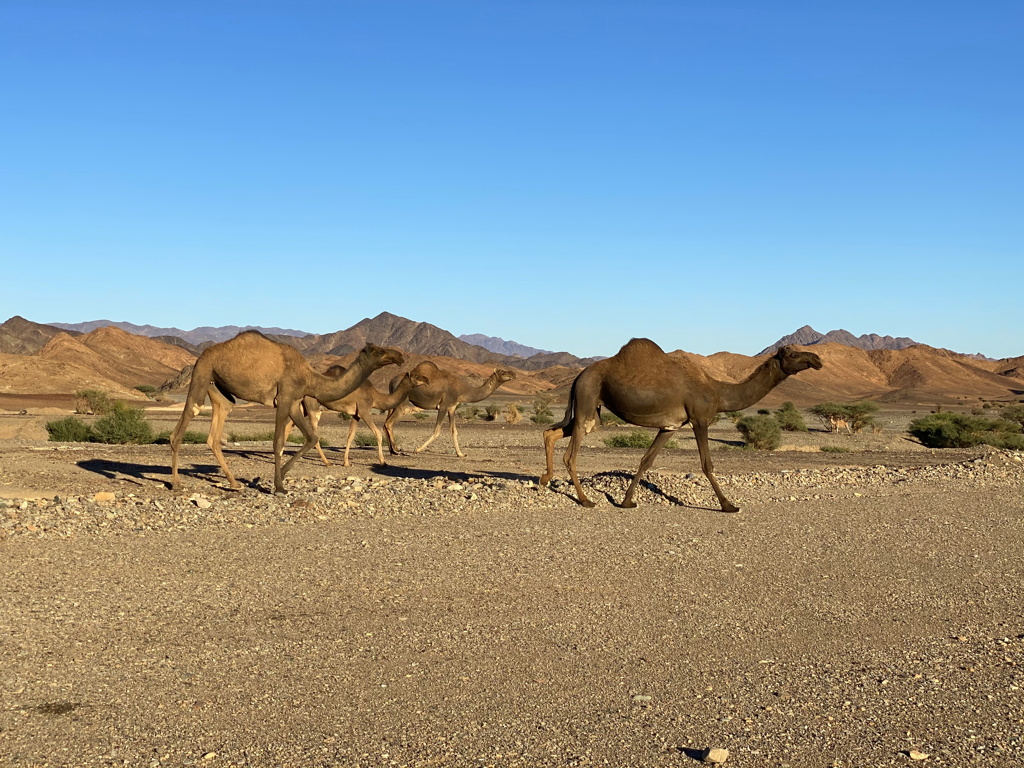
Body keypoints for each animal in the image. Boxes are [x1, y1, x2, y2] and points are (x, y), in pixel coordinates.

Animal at [168, 333, 403, 495]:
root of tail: (202, 355)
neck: (310, 378)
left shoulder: (295, 402)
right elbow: (278, 442)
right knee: (189, 415)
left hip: (219, 387)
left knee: (217, 426)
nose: (400, 356)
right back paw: (177, 483)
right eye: (380, 351)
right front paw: (279, 486)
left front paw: (281, 475)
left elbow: (311, 437)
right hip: (202, 370)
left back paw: (234, 483)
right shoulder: (284, 398)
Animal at [292, 368, 428, 468]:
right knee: (314, 435)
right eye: (416, 376)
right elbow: (378, 433)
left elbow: (350, 437)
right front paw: (383, 462)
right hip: (312, 408)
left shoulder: (356, 415)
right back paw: (327, 462)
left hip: (304, 407)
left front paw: (346, 463)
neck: (375, 396)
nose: (427, 380)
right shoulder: (364, 411)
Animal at [380, 360, 516, 456]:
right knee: (389, 423)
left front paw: (461, 454)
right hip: (402, 403)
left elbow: (454, 431)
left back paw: (392, 450)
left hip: (393, 403)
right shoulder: (444, 405)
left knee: (385, 423)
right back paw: (397, 450)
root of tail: (392, 381)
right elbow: (437, 431)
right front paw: (417, 449)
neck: (462, 390)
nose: (513, 374)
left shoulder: (452, 407)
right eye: (502, 372)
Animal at [540, 342, 819, 512]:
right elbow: (707, 464)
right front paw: (728, 505)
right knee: (570, 454)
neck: (718, 391)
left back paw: (545, 478)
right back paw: (585, 500)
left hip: (591, 411)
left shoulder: (670, 427)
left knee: (551, 432)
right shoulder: (700, 418)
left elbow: (646, 461)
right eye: (793, 354)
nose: (816, 359)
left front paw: (627, 501)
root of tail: (579, 376)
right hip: (587, 398)